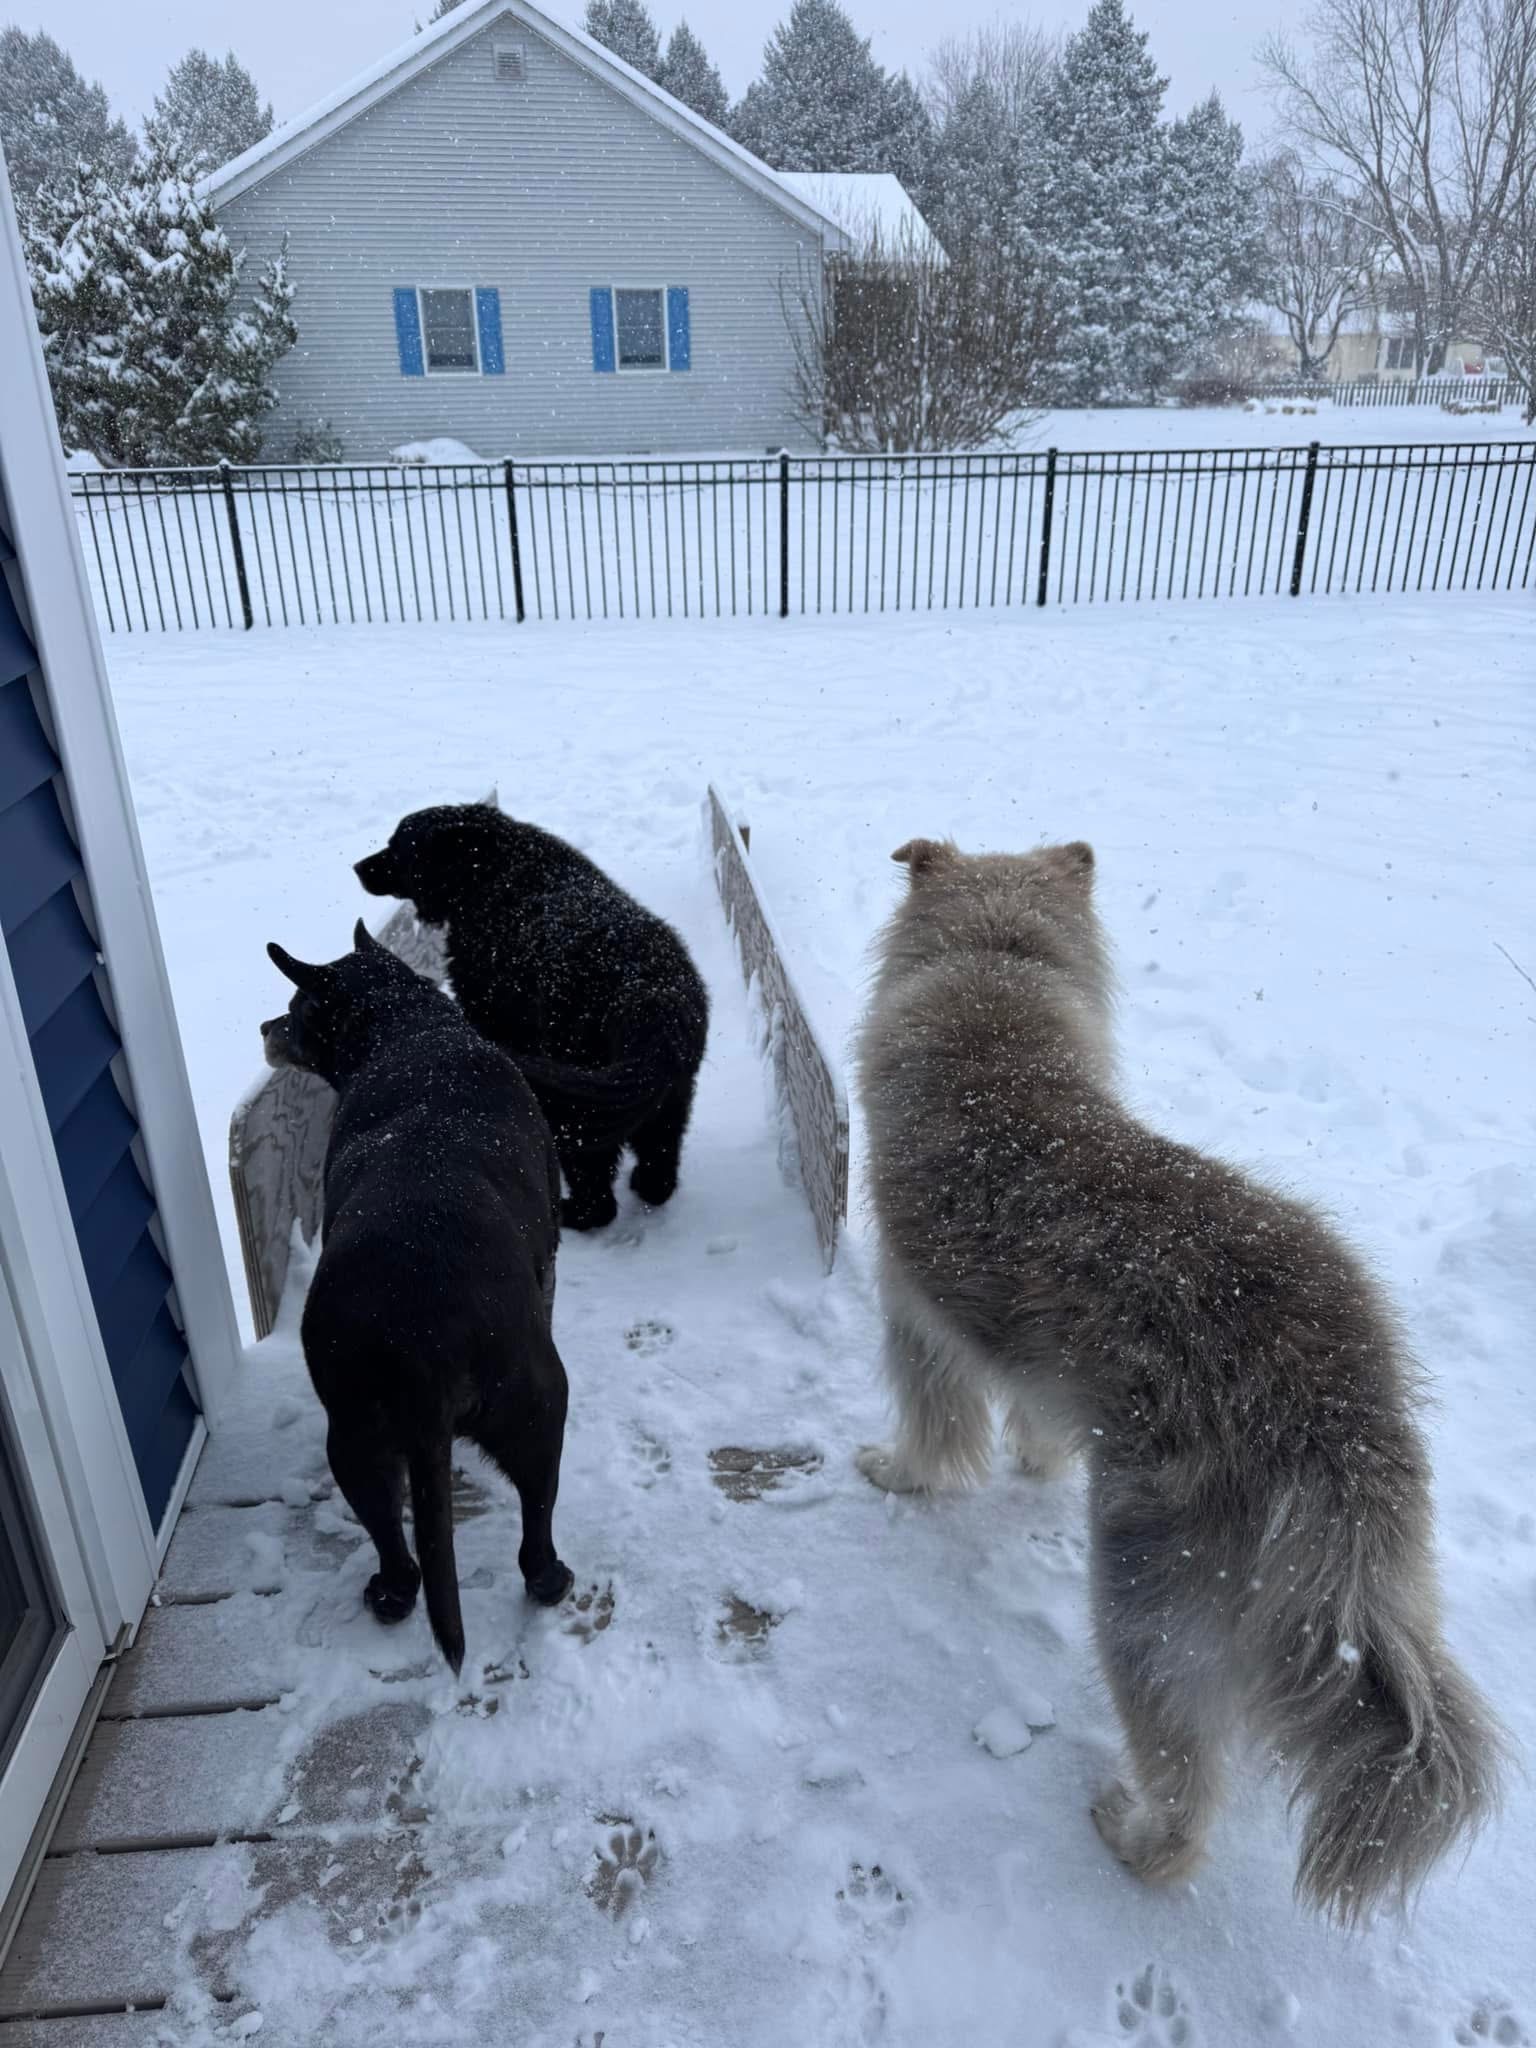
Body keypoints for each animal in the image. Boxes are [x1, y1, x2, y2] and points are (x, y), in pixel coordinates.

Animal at [264, 921, 577, 1671]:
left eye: (294, 1008)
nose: (265, 1026)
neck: (409, 1031)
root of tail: (421, 1335)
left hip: (358, 1437)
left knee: (398, 1538)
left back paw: (394, 1593)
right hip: (540, 1403)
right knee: (533, 1524)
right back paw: (547, 1578)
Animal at [354, 802, 708, 1228]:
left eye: (398, 846)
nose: (358, 867)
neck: (489, 874)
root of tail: (650, 997)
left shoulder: (490, 1014)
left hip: (582, 1104)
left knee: (598, 1196)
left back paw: (574, 1214)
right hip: (666, 1099)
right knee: (660, 1168)